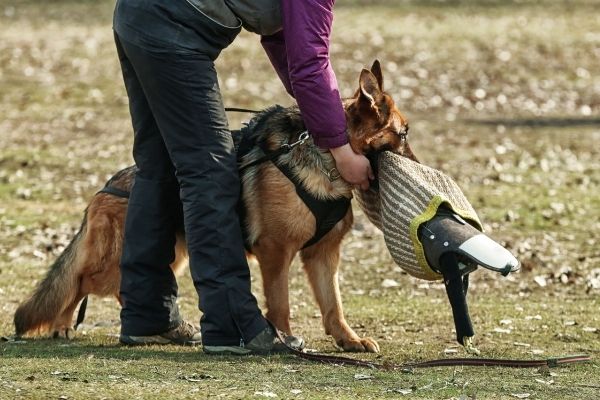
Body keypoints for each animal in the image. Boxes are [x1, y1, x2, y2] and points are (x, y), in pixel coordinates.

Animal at [15, 60, 418, 354]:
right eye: (404, 133)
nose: (421, 165)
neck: (329, 160)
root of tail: (108, 185)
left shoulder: (322, 255)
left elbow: (334, 304)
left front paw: (348, 340)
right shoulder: (275, 254)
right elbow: (281, 303)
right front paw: (284, 339)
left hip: (172, 255)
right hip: (114, 262)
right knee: (79, 280)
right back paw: (63, 323)